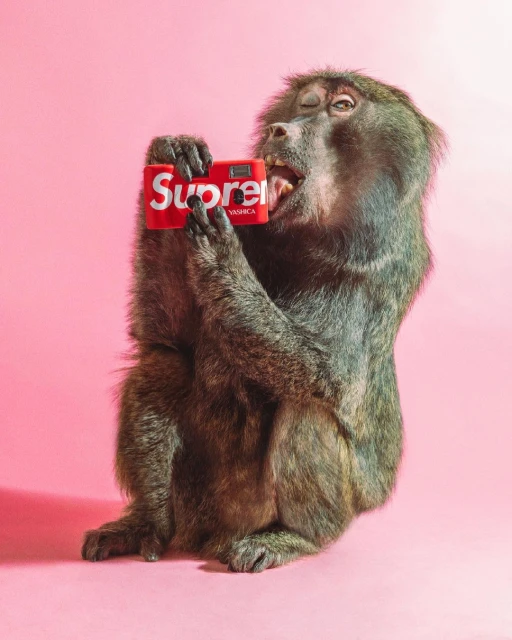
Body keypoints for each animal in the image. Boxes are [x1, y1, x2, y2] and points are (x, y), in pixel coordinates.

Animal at [81, 69, 446, 572]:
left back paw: (292, 539)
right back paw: (146, 525)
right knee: (161, 364)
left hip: (286, 511)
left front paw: (217, 243)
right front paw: (172, 156)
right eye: (306, 103)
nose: (281, 130)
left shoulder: (375, 262)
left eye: (342, 107)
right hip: (197, 502)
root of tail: (209, 534)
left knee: (307, 407)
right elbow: (170, 337)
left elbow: (328, 373)